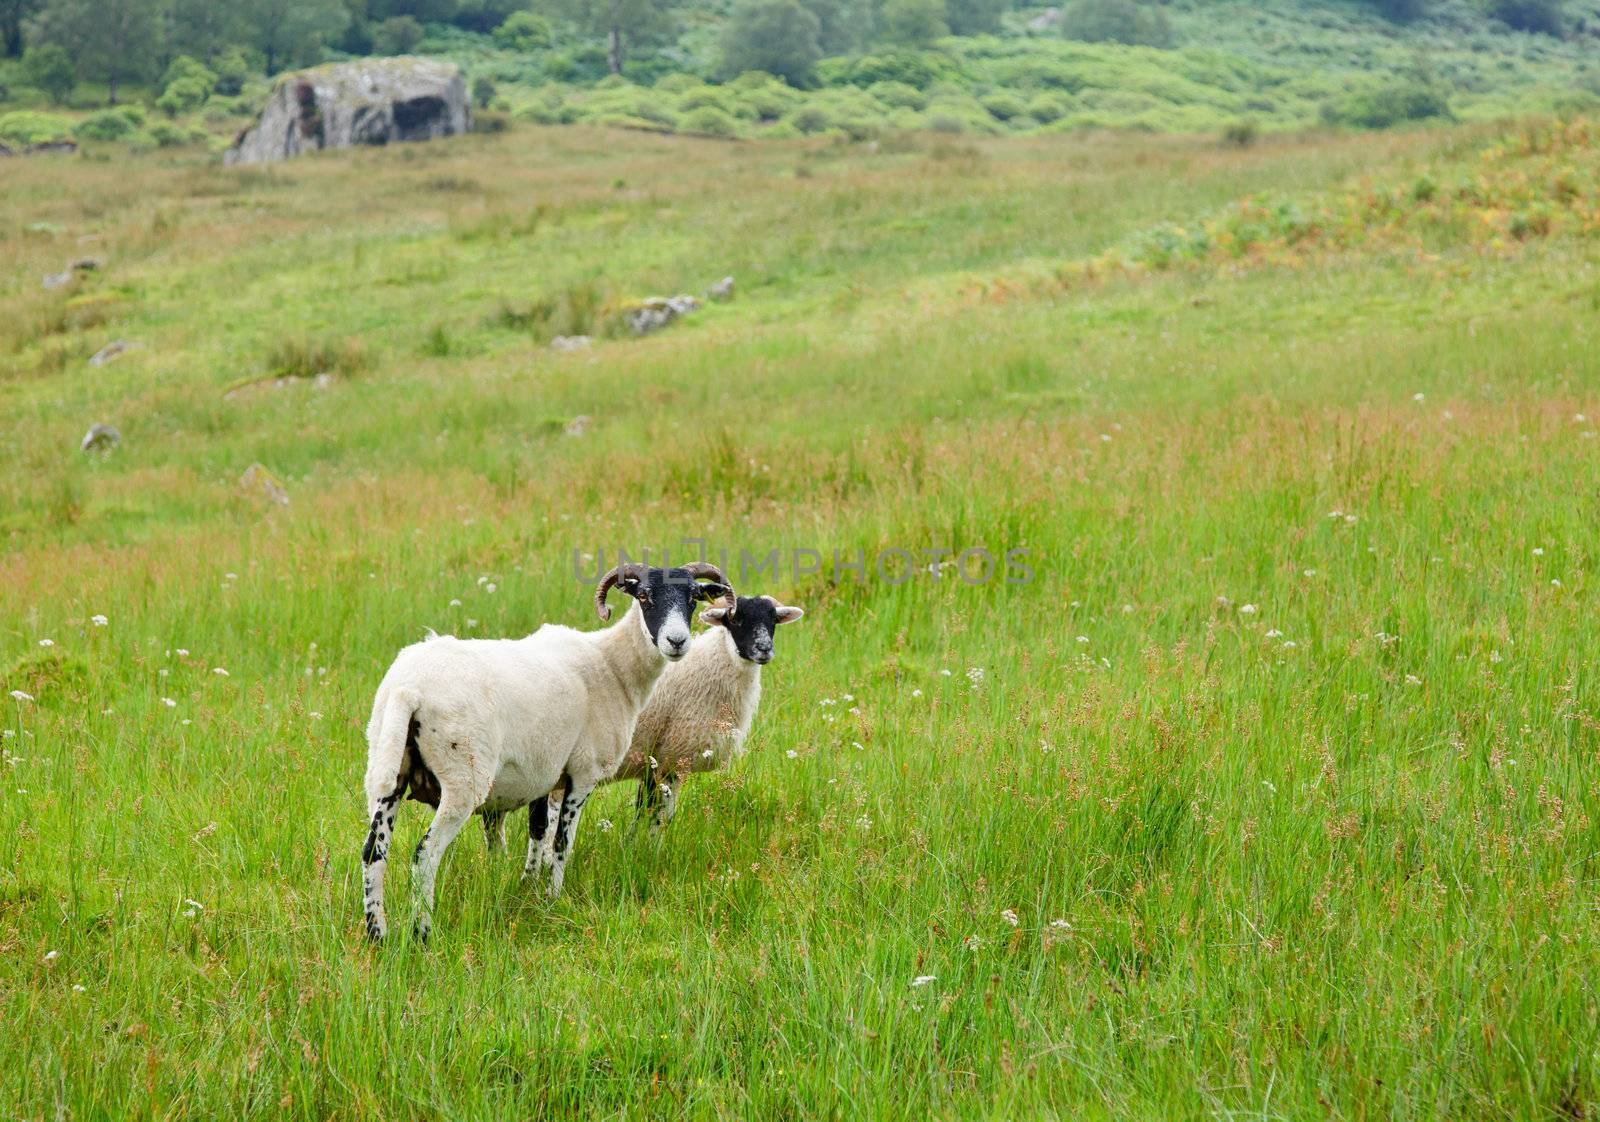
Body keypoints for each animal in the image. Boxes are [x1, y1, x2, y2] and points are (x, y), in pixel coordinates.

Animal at [361, 556, 732, 934]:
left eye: (693, 598)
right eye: (644, 596)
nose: (677, 641)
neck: (612, 667)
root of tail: (408, 689)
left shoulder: (544, 774)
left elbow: (538, 833)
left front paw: (529, 887)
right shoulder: (583, 773)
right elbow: (561, 842)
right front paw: (554, 896)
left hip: (387, 769)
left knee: (374, 853)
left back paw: (378, 933)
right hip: (462, 778)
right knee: (425, 853)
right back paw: (422, 931)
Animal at [524, 592, 800, 851]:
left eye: (773, 620)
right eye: (736, 620)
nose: (764, 649)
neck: (716, 663)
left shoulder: (653, 761)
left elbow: (643, 810)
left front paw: (633, 848)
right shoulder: (672, 758)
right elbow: (660, 815)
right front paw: (651, 852)